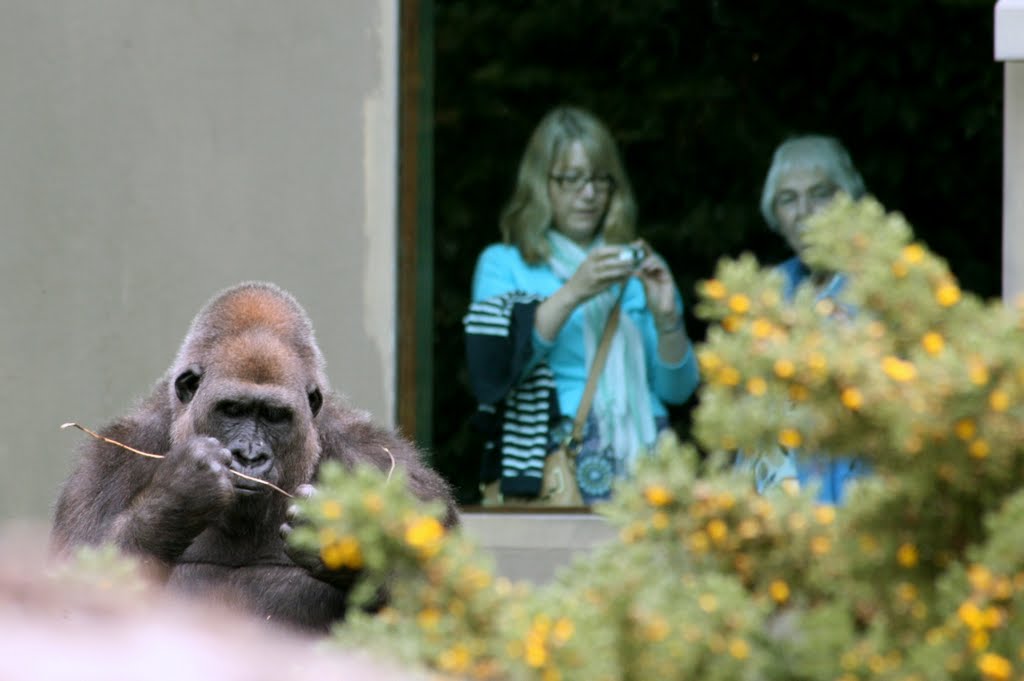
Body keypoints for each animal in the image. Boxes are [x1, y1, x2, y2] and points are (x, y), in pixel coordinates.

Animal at [50, 280, 460, 630]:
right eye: (232, 410)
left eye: (274, 415)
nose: (249, 456)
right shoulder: (104, 465)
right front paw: (180, 492)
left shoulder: (400, 478)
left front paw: (340, 532)